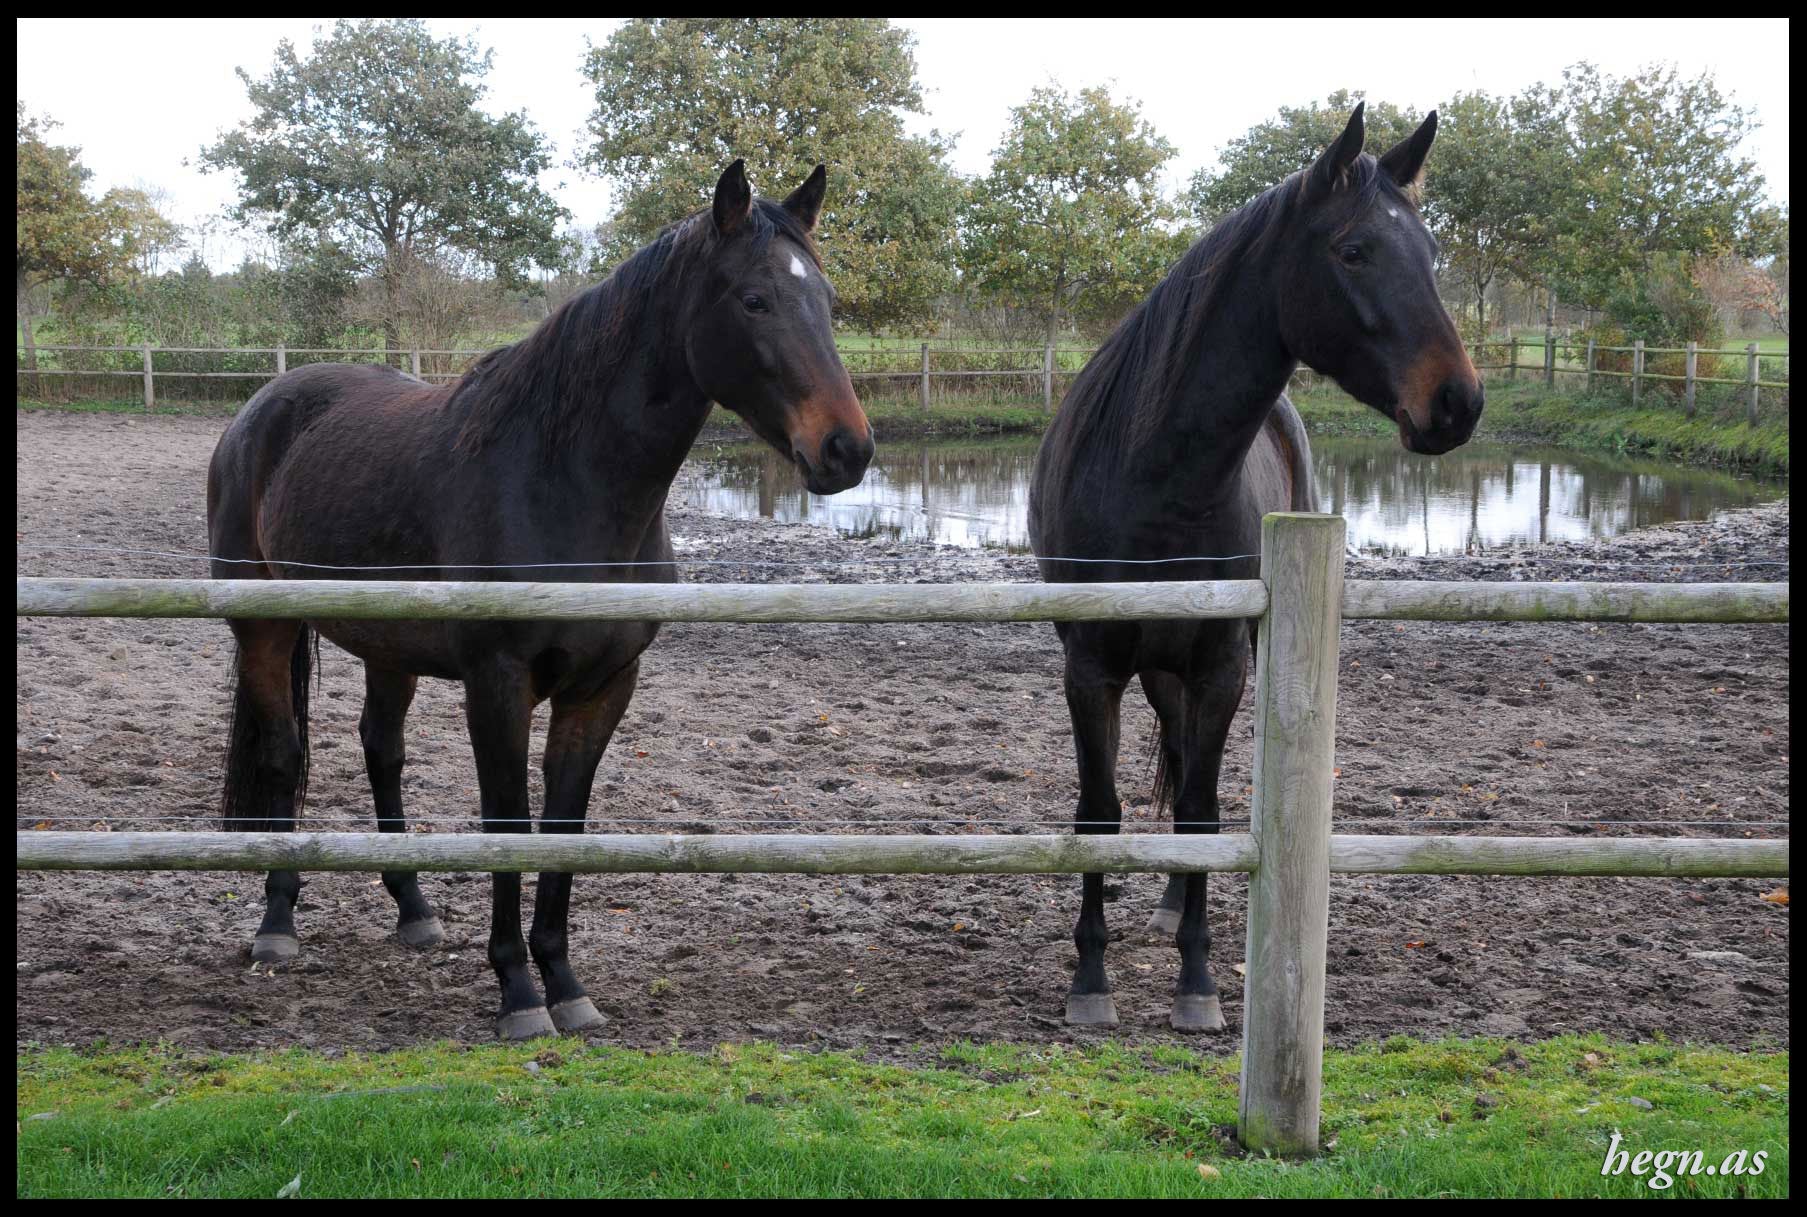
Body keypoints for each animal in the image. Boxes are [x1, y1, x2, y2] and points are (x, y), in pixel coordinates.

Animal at [211, 159, 874, 1034]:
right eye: (754, 299)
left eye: (826, 300)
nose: (846, 448)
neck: (561, 480)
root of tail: (262, 404)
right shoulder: (497, 685)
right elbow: (507, 823)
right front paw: (519, 993)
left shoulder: (601, 688)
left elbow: (562, 824)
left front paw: (564, 983)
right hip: (263, 626)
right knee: (286, 756)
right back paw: (277, 922)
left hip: (390, 646)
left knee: (380, 750)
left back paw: (414, 910)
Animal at [1033, 106, 1481, 1027]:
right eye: (1354, 250)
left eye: (1429, 251)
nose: (1457, 402)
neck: (1150, 480)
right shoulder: (1089, 667)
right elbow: (1098, 811)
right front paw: (1089, 979)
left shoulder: (1219, 667)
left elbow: (1202, 813)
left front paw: (1197, 980)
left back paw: (1176, 902)